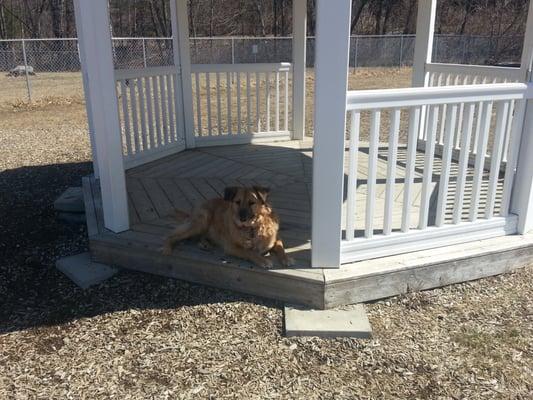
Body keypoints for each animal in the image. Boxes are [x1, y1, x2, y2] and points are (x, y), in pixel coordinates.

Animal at [162, 187, 296, 268]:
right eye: (237, 202)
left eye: (251, 203)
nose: (242, 218)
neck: (254, 227)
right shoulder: (231, 247)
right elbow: (249, 252)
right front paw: (263, 260)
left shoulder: (275, 239)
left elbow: (280, 247)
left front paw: (286, 258)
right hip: (202, 220)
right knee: (172, 235)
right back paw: (167, 249)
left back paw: (205, 244)